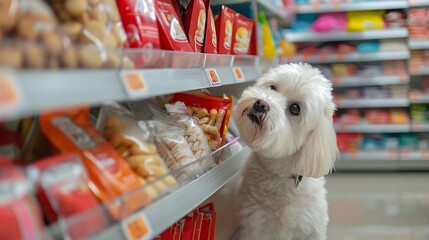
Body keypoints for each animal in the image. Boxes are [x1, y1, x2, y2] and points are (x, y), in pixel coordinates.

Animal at [232, 62, 336, 239]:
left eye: (295, 108)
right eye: (272, 88)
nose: (261, 103)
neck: (278, 174)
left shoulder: (312, 227)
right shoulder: (254, 222)